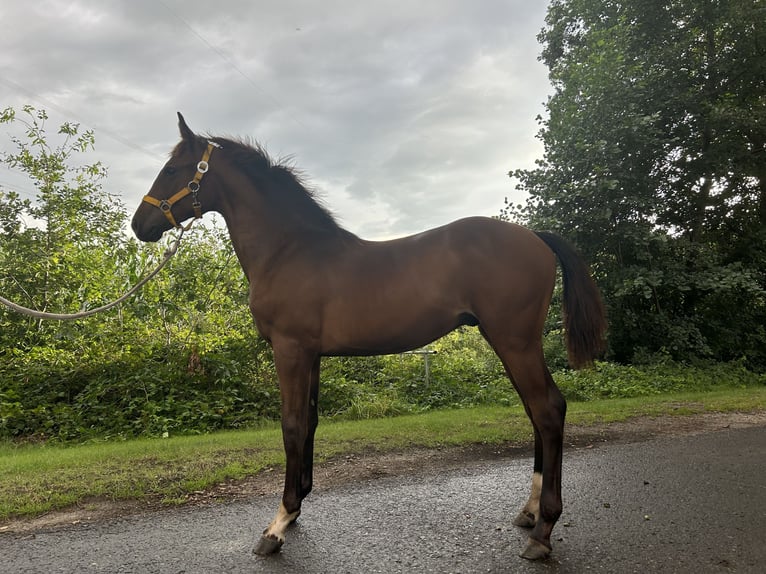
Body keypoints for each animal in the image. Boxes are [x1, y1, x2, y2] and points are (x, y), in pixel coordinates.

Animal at [134, 113, 612, 564]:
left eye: (173, 169)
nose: (140, 225)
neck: (289, 251)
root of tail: (535, 236)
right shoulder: (312, 355)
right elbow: (310, 422)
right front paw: (298, 507)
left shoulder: (290, 350)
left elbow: (291, 426)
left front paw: (277, 525)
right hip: (511, 344)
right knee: (536, 412)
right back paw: (528, 513)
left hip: (514, 341)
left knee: (548, 410)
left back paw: (543, 532)